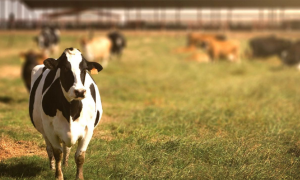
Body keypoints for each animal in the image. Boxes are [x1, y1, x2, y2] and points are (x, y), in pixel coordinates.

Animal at [29, 47, 103, 180]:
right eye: (64, 68)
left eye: (84, 69)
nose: (80, 91)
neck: (70, 111)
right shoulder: (50, 129)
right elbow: (57, 153)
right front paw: (58, 176)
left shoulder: (88, 130)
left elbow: (80, 156)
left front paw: (79, 177)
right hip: (44, 130)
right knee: (49, 149)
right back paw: (52, 167)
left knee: (67, 148)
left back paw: (66, 164)